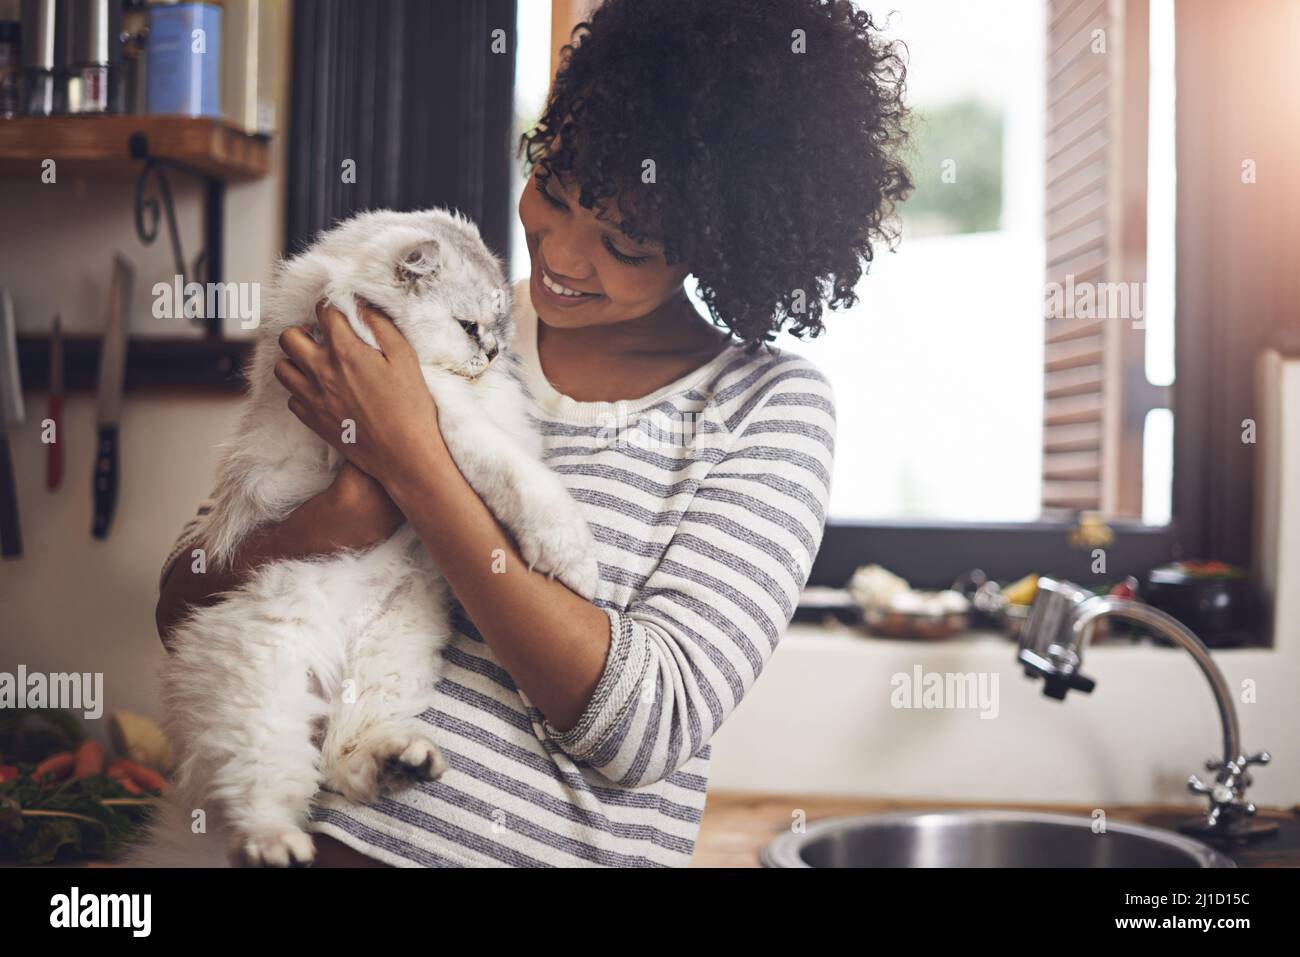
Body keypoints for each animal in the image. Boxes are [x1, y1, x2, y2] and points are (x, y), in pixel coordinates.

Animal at [129, 209, 595, 868]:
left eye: (500, 327)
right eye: (469, 326)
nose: (494, 352)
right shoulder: (436, 415)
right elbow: (518, 478)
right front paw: (572, 558)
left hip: (393, 653)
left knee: (339, 759)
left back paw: (401, 762)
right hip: (265, 678)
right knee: (261, 790)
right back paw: (277, 844)